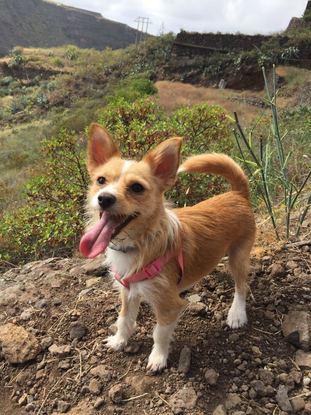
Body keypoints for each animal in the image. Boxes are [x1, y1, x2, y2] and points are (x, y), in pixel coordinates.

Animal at [80, 123, 256, 374]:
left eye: (136, 187)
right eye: (101, 180)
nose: (104, 198)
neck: (139, 243)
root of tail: (237, 194)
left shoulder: (168, 304)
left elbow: (159, 333)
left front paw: (158, 358)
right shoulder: (128, 291)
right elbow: (124, 319)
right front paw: (120, 340)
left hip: (238, 256)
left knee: (242, 285)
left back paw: (237, 314)